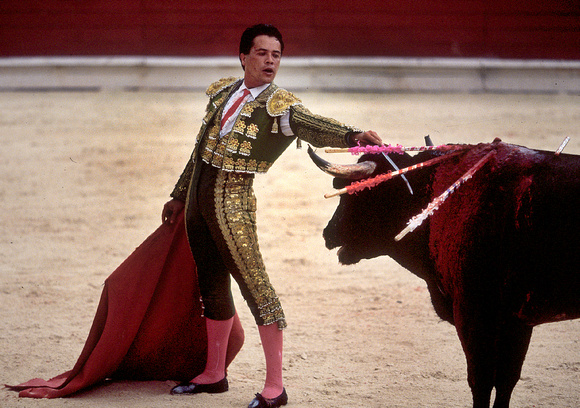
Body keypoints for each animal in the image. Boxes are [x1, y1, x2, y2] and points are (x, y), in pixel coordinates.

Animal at [310, 139, 576, 408]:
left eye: (359, 193)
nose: (328, 233)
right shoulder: (516, 321)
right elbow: (506, 381)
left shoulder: (474, 315)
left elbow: (482, 382)